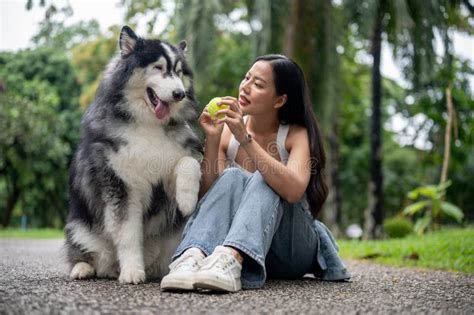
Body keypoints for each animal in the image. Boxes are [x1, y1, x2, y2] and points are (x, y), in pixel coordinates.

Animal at [63, 25, 202, 286]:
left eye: (179, 72)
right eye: (158, 67)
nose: (179, 94)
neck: (148, 123)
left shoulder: (167, 181)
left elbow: (188, 163)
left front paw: (188, 200)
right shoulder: (121, 185)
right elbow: (127, 234)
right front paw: (131, 271)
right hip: (78, 226)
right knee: (84, 252)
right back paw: (83, 268)